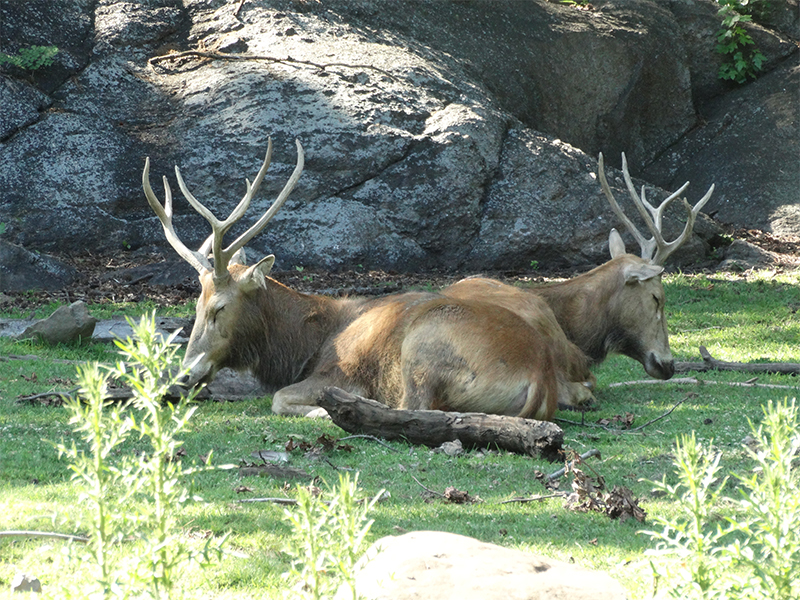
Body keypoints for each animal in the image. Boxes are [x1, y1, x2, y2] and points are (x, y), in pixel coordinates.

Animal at [142, 139, 596, 420]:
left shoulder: (339, 375)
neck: (307, 342)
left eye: (220, 307)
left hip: (424, 347)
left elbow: (280, 398)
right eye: (195, 305)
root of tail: (539, 376)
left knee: (416, 407)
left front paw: (321, 409)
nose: (183, 376)